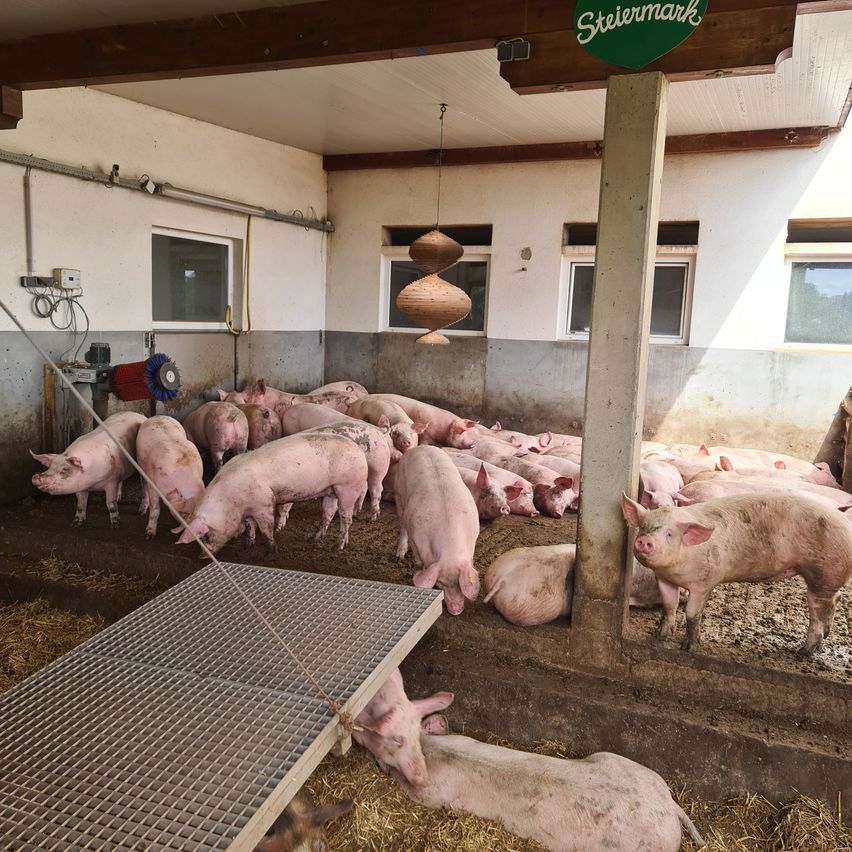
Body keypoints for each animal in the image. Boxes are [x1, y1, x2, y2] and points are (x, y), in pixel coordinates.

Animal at [177, 433, 368, 553]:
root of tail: (360, 451)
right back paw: (313, 539)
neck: (230, 500)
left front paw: (271, 549)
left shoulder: (264, 502)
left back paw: (338, 547)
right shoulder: (249, 508)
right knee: (328, 512)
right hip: (331, 490)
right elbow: (250, 525)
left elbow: (266, 526)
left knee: (345, 518)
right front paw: (248, 545)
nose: (202, 555)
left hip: (348, 486)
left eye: (206, 535)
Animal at [394, 446, 481, 614]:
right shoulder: (416, 537)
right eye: (440, 584)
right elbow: (418, 560)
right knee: (402, 524)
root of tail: (420, 447)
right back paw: (398, 557)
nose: (455, 610)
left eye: (459, 584)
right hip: (399, 491)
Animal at [621, 491, 852, 654]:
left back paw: (803, 652)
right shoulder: (664, 579)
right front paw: (658, 636)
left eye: (670, 534)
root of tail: (846, 524)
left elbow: (692, 614)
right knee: (835, 599)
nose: (645, 540)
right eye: (644, 527)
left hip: (824, 572)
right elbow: (669, 606)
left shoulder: (704, 582)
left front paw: (688, 647)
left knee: (818, 608)